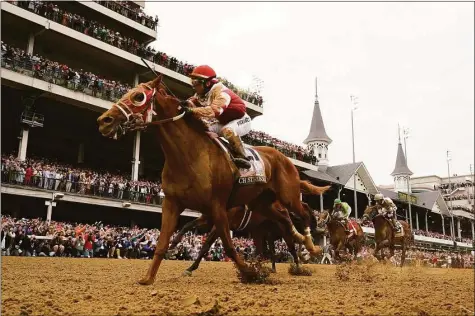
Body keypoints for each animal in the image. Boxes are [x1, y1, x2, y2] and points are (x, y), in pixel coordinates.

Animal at [95, 76, 330, 284]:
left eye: (138, 96)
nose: (104, 120)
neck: (189, 155)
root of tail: (285, 158)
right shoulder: (173, 203)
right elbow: (165, 241)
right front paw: (149, 277)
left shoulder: (218, 208)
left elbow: (226, 245)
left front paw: (251, 273)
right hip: (263, 205)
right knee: (285, 223)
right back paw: (301, 246)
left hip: (288, 195)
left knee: (304, 213)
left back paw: (312, 246)